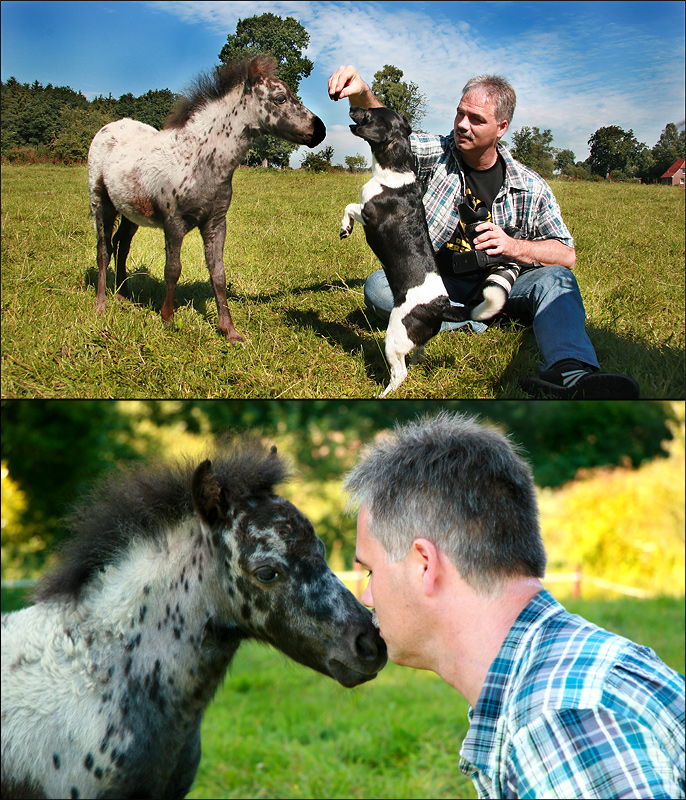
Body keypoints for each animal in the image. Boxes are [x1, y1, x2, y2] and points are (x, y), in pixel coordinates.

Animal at [342, 108, 482, 398]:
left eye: (368, 113)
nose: (352, 107)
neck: (395, 171)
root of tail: (440, 308)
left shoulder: (368, 213)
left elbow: (349, 206)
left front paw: (344, 228)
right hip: (414, 340)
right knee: (419, 352)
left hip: (394, 338)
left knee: (400, 373)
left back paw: (383, 393)